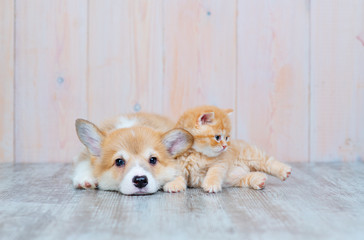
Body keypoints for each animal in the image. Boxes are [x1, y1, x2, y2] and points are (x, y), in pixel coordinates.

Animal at [164, 105, 292, 193]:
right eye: (217, 137)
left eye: (226, 137)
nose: (225, 146)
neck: (198, 154)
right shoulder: (178, 162)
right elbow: (177, 174)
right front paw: (174, 185)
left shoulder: (220, 162)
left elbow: (214, 172)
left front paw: (211, 184)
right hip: (238, 179)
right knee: (247, 176)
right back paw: (259, 180)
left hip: (250, 154)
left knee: (267, 162)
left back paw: (284, 171)